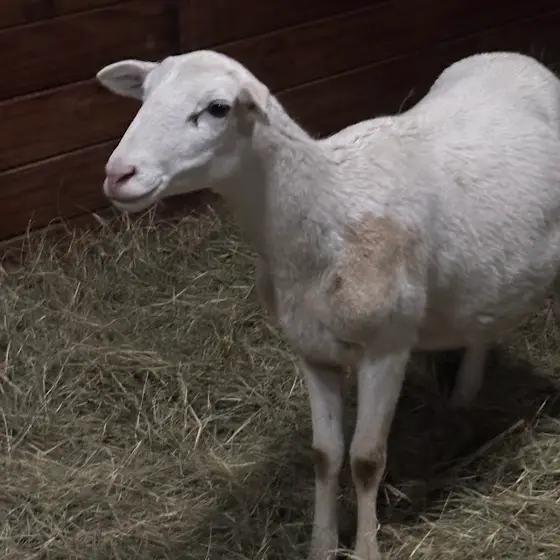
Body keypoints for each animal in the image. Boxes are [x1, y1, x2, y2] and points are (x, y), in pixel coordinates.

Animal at [95, 50, 560, 559]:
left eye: (217, 108)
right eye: (145, 94)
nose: (118, 174)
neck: (322, 210)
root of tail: (516, 57)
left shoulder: (387, 348)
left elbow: (365, 460)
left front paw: (367, 548)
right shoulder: (312, 350)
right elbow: (325, 455)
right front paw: (321, 543)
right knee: (482, 323)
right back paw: (464, 394)